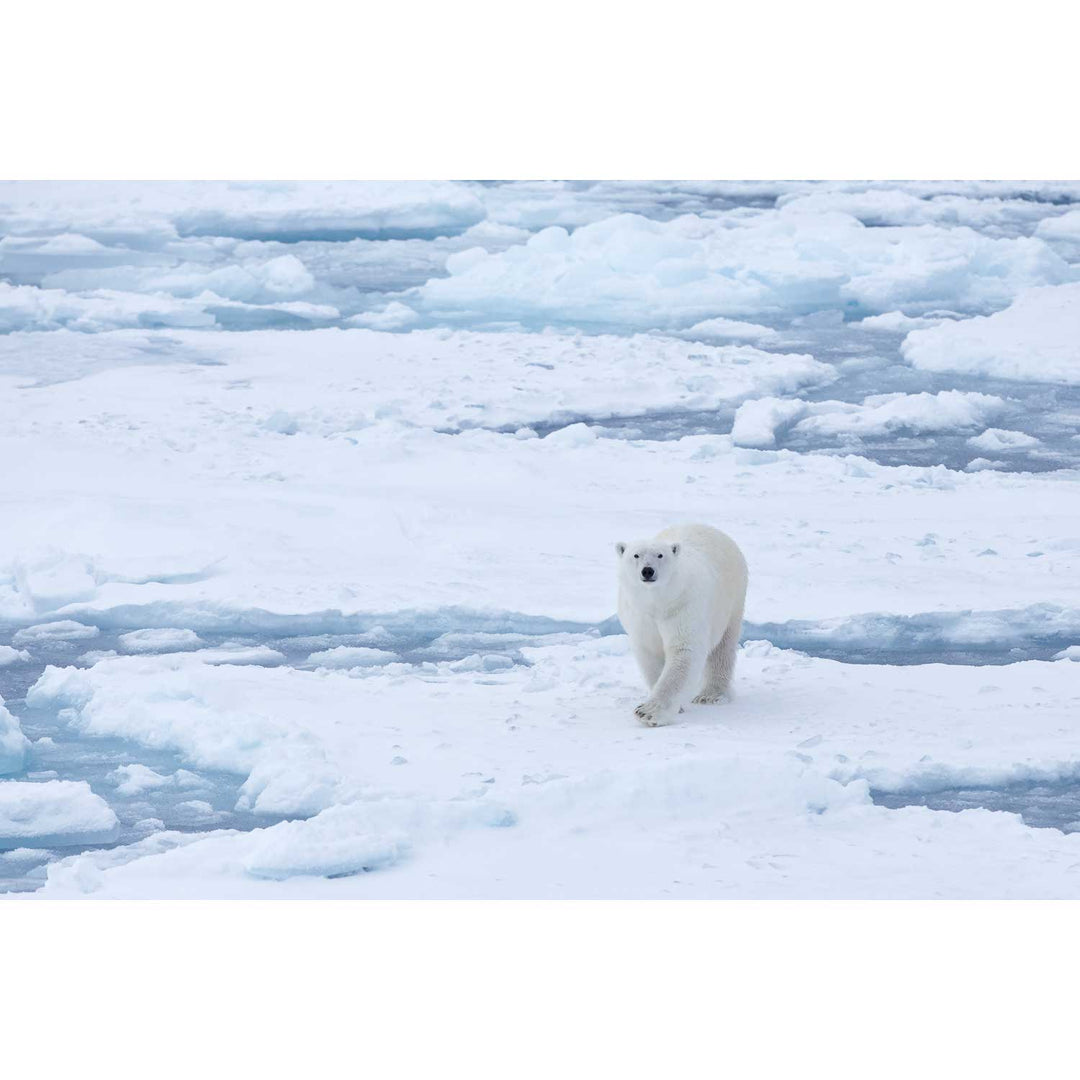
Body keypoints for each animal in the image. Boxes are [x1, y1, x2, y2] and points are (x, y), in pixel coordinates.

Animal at [617, 522, 751, 725]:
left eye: (660, 555)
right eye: (636, 555)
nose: (647, 571)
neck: (658, 601)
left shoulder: (683, 606)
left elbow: (684, 650)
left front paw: (647, 712)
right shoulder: (639, 616)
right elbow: (649, 652)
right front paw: (674, 707)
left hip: (731, 599)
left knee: (723, 648)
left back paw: (710, 695)